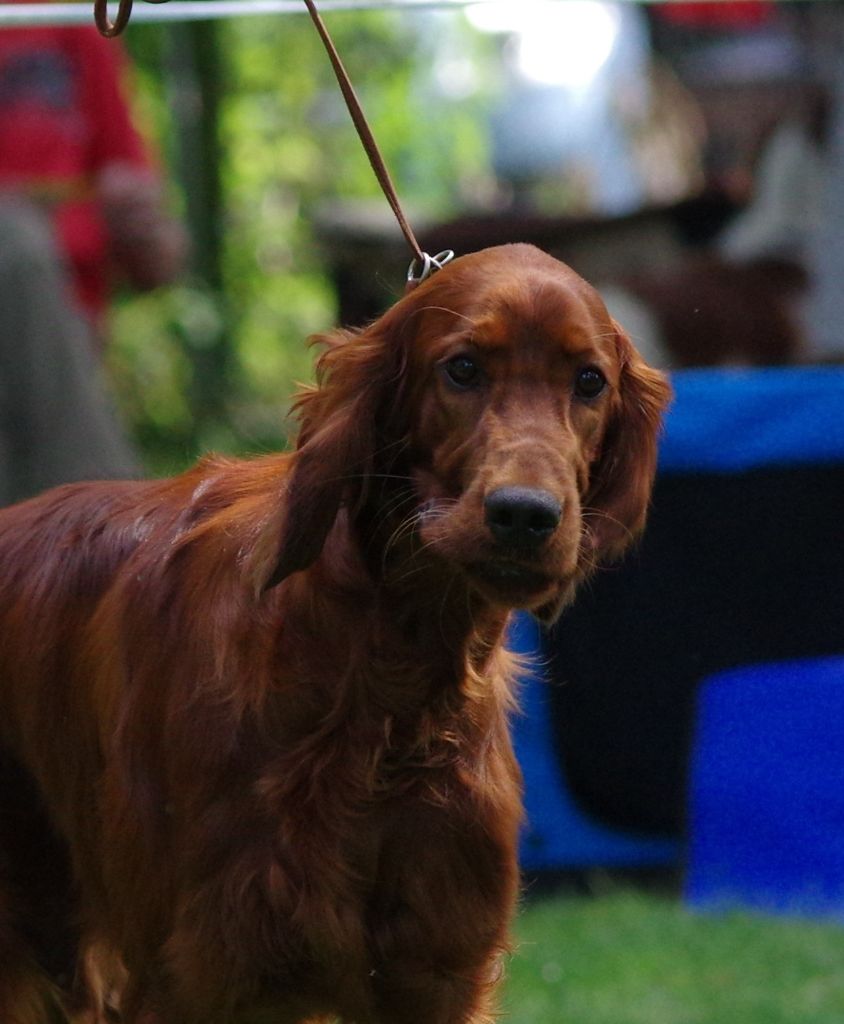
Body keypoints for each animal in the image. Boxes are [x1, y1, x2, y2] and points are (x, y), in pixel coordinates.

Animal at [0, 243, 671, 1019]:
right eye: (463, 368)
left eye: (589, 381)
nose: (525, 515)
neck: (388, 684)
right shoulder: (201, 973)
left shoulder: (436, 972)